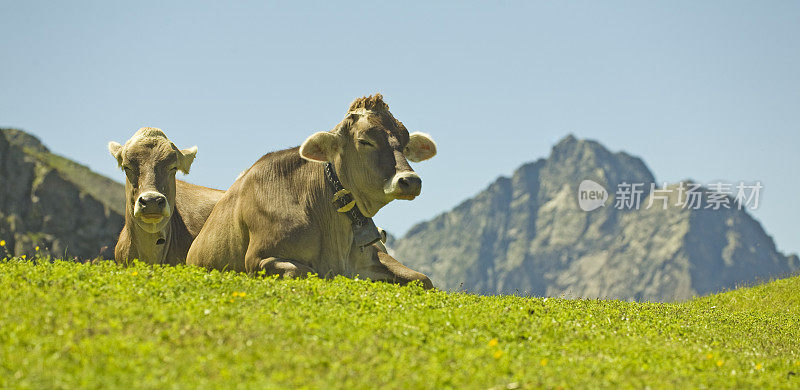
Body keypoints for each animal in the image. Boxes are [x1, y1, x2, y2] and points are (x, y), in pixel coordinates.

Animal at [186, 93, 438, 290]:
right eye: (365, 141)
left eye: (405, 144)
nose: (410, 181)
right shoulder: (259, 258)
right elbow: (305, 272)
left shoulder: (376, 255)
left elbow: (423, 279)